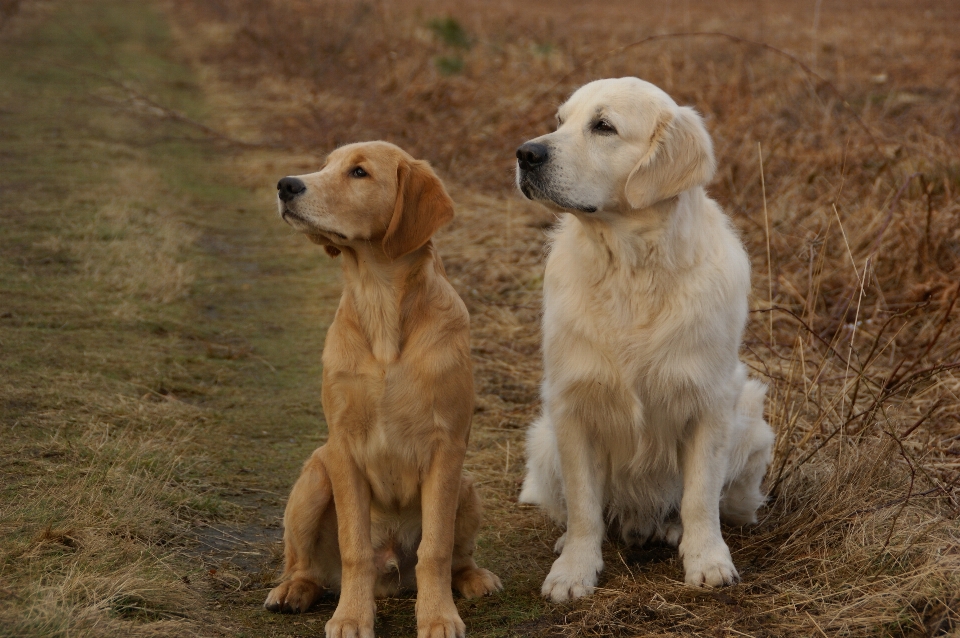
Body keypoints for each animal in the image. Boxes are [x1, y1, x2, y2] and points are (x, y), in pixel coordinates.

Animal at [262, 142, 502, 636]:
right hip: (314, 477)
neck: (379, 301)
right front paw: (352, 617)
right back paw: (294, 589)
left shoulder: (447, 448)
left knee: (455, 558)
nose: (286, 185)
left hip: (467, 487)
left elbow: (435, 549)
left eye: (359, 172)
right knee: (307, 565)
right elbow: (354, 548)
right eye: (326, 165)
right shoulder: (344, 447)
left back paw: (472, 578)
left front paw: (437, 616)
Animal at [512, 77, 776, 604]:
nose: (525, 154)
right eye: (560, 121)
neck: (630, 269)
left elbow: (700, 497)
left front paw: (707, 560)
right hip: (543, 441)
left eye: (603, 126)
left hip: (751, 423)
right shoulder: (572, 404)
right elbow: (584, 506)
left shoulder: (710, 402)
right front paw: (574, 569)